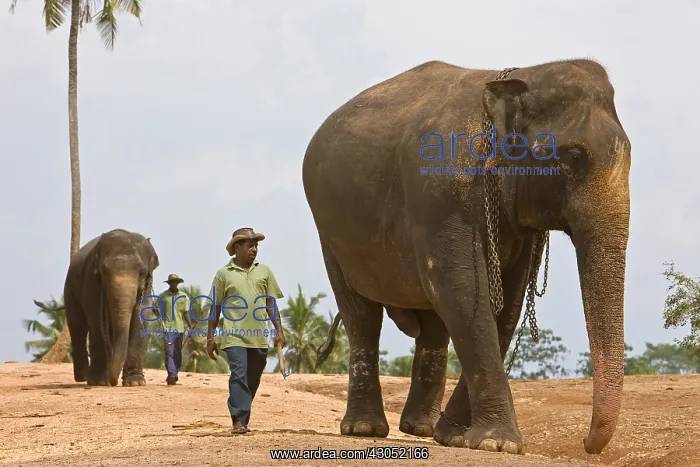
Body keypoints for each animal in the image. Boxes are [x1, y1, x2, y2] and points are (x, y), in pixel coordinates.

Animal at [64, 228, 160, 387]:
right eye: (104, 271)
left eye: (142, 272)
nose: (113, 382)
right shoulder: (91, 280)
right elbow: (96, 321)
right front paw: (98, 382)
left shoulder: (147, 285)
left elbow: (141, 319)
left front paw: (135, 383)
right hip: (69, 291)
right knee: (78, 327)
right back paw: (84, 377)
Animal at [302, 59, 631, 456]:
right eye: (573, 157)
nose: (585, 441)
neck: (523, 76)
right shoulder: (441, 191)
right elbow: (460, 287)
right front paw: (498, 444)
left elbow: (507, 303)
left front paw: (458, 437)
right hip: (330, 233)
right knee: (361, 315)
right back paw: (364, 429)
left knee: (432, 324)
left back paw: (420, 428)